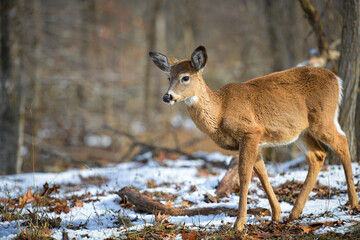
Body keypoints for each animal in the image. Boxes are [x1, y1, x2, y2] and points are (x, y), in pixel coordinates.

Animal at [148, 46, 358, 232]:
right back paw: (294, 213)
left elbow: (244, 174)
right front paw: (276, 215)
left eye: (185, 77)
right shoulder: (255, 140)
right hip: (301, 131)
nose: (167, 96)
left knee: (342, 142)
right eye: (169, 77)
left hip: (322, 118)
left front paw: (239, 224)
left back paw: (353, 203)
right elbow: (262, 174)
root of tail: (336, 79)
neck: (220, 111)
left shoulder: (250, 132)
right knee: (318, 155)